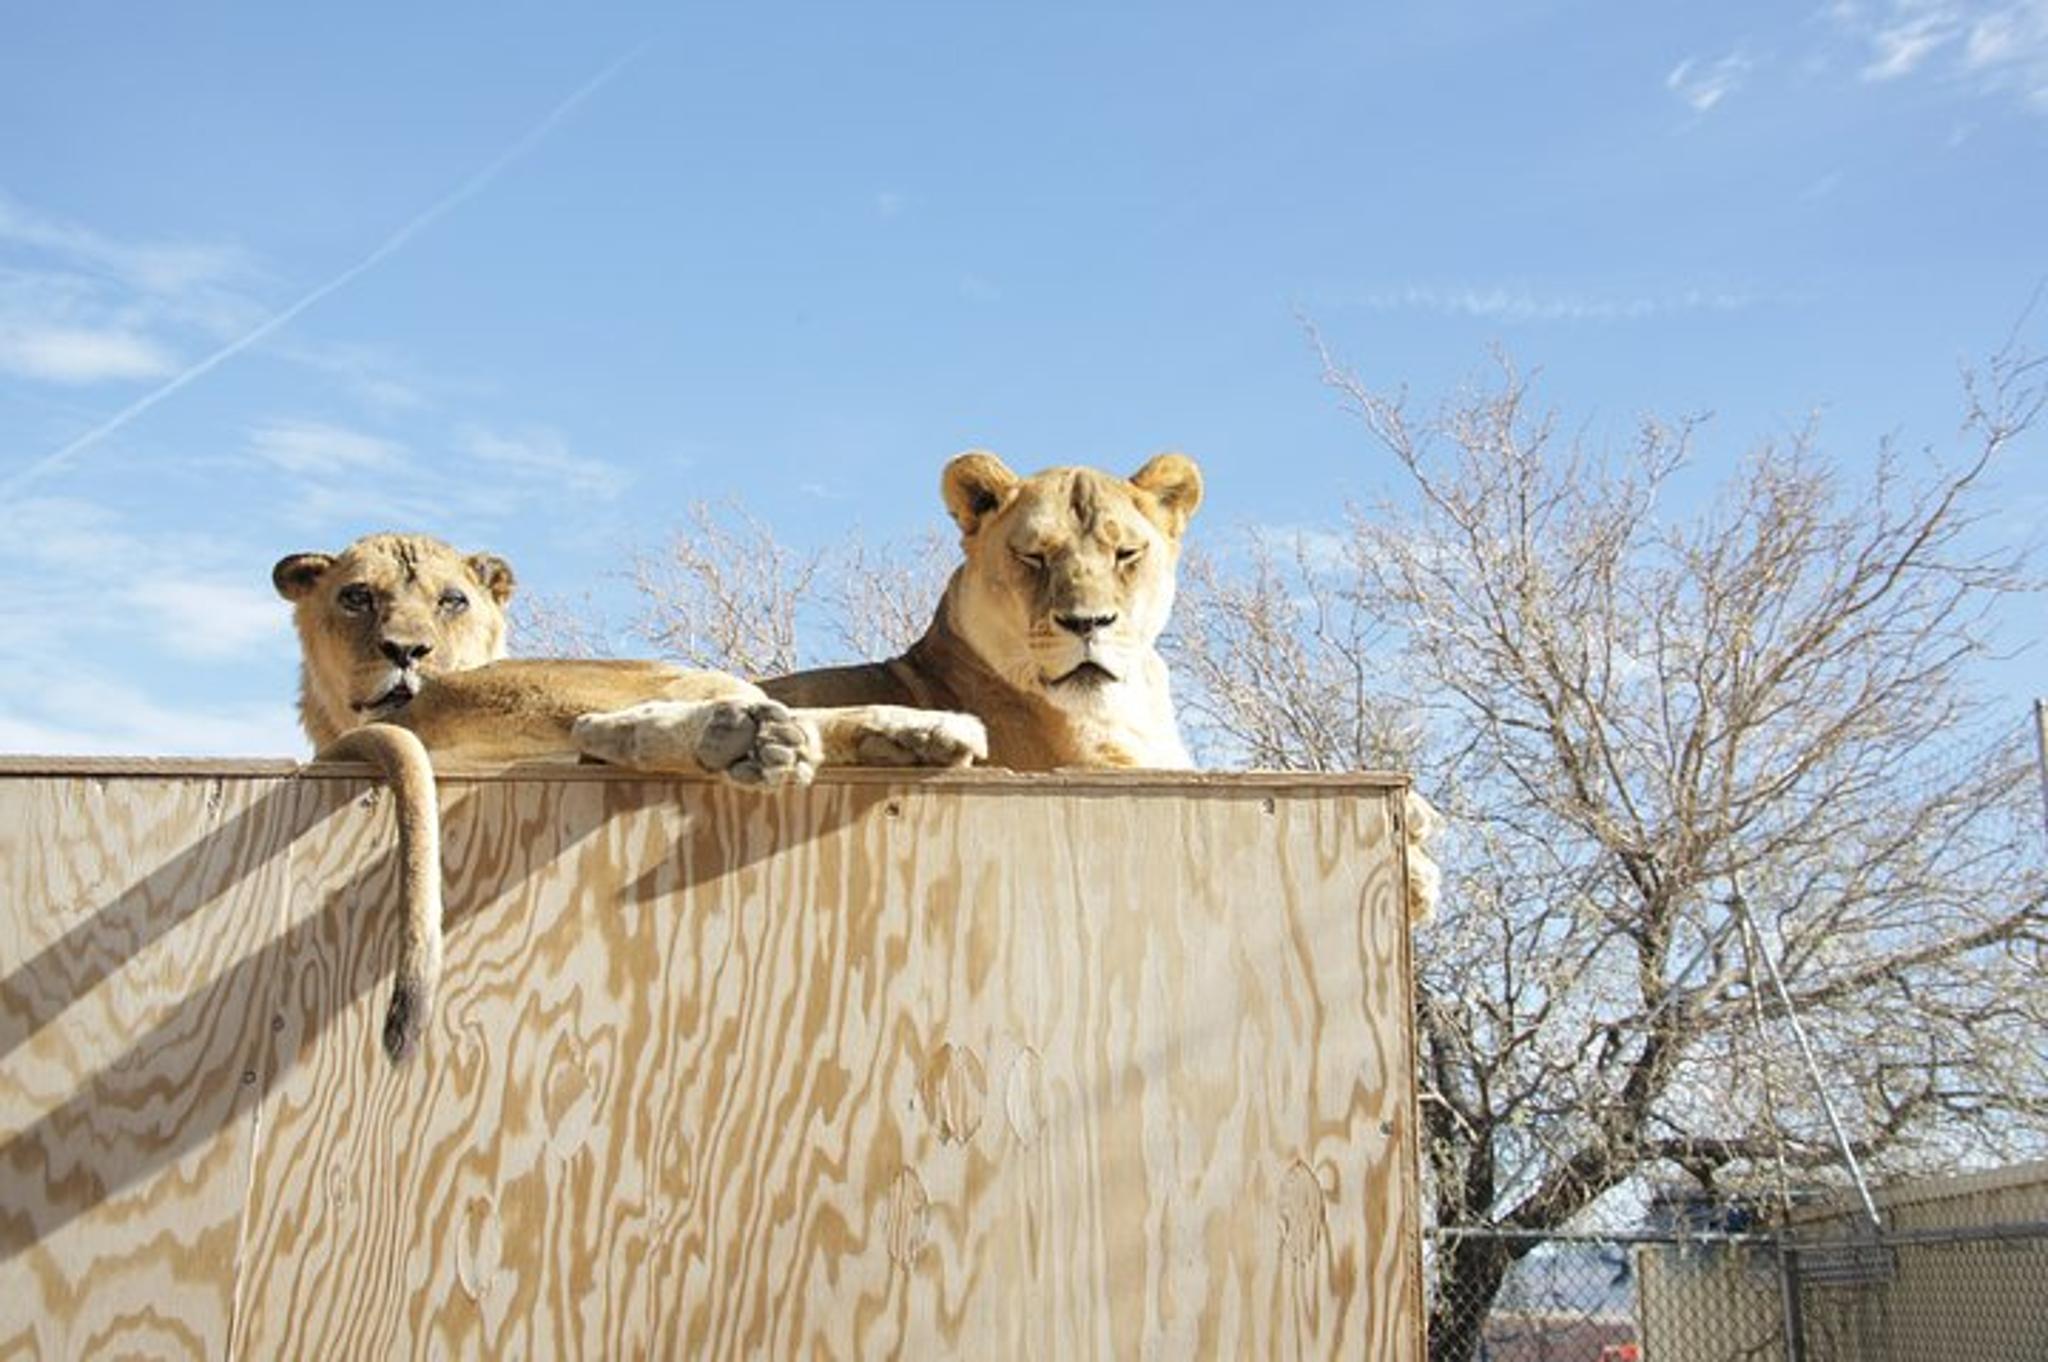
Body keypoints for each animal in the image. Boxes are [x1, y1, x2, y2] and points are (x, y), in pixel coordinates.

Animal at [274, 533, 987, 1061]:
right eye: (357, 597)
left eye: (452, 600)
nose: (406, 651)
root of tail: (412, 714)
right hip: (637, 679)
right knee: (629, 721)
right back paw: (756, 736)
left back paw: (903, 735)